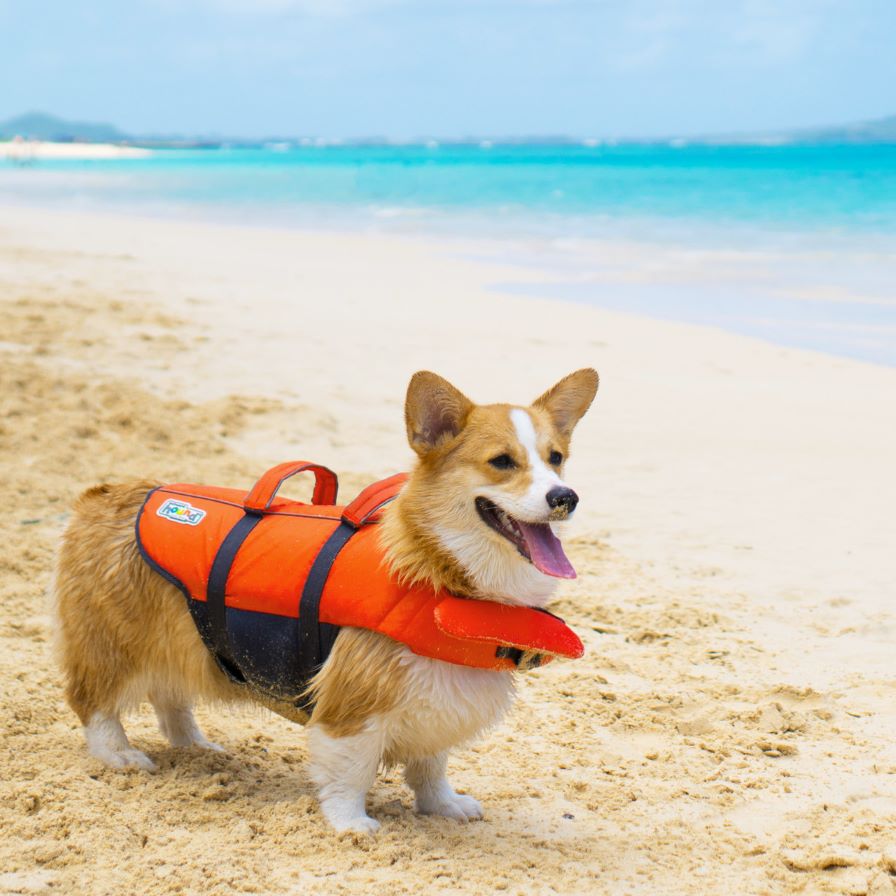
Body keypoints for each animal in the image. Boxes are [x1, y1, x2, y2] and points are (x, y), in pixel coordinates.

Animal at [57, 368, 600, 828]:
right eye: (502, 462)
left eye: (556, 458)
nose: (565, 497)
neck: (439, 569)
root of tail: (103, 495)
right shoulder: (354, 706)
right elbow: (349, 771)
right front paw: (351, 825)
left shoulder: (437, 702)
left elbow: (431, 766)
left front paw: (444, 807)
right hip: (116, 643)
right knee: (94, 703)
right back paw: (120, 754)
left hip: (183, 642)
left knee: (171, 695)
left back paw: (195, 745)